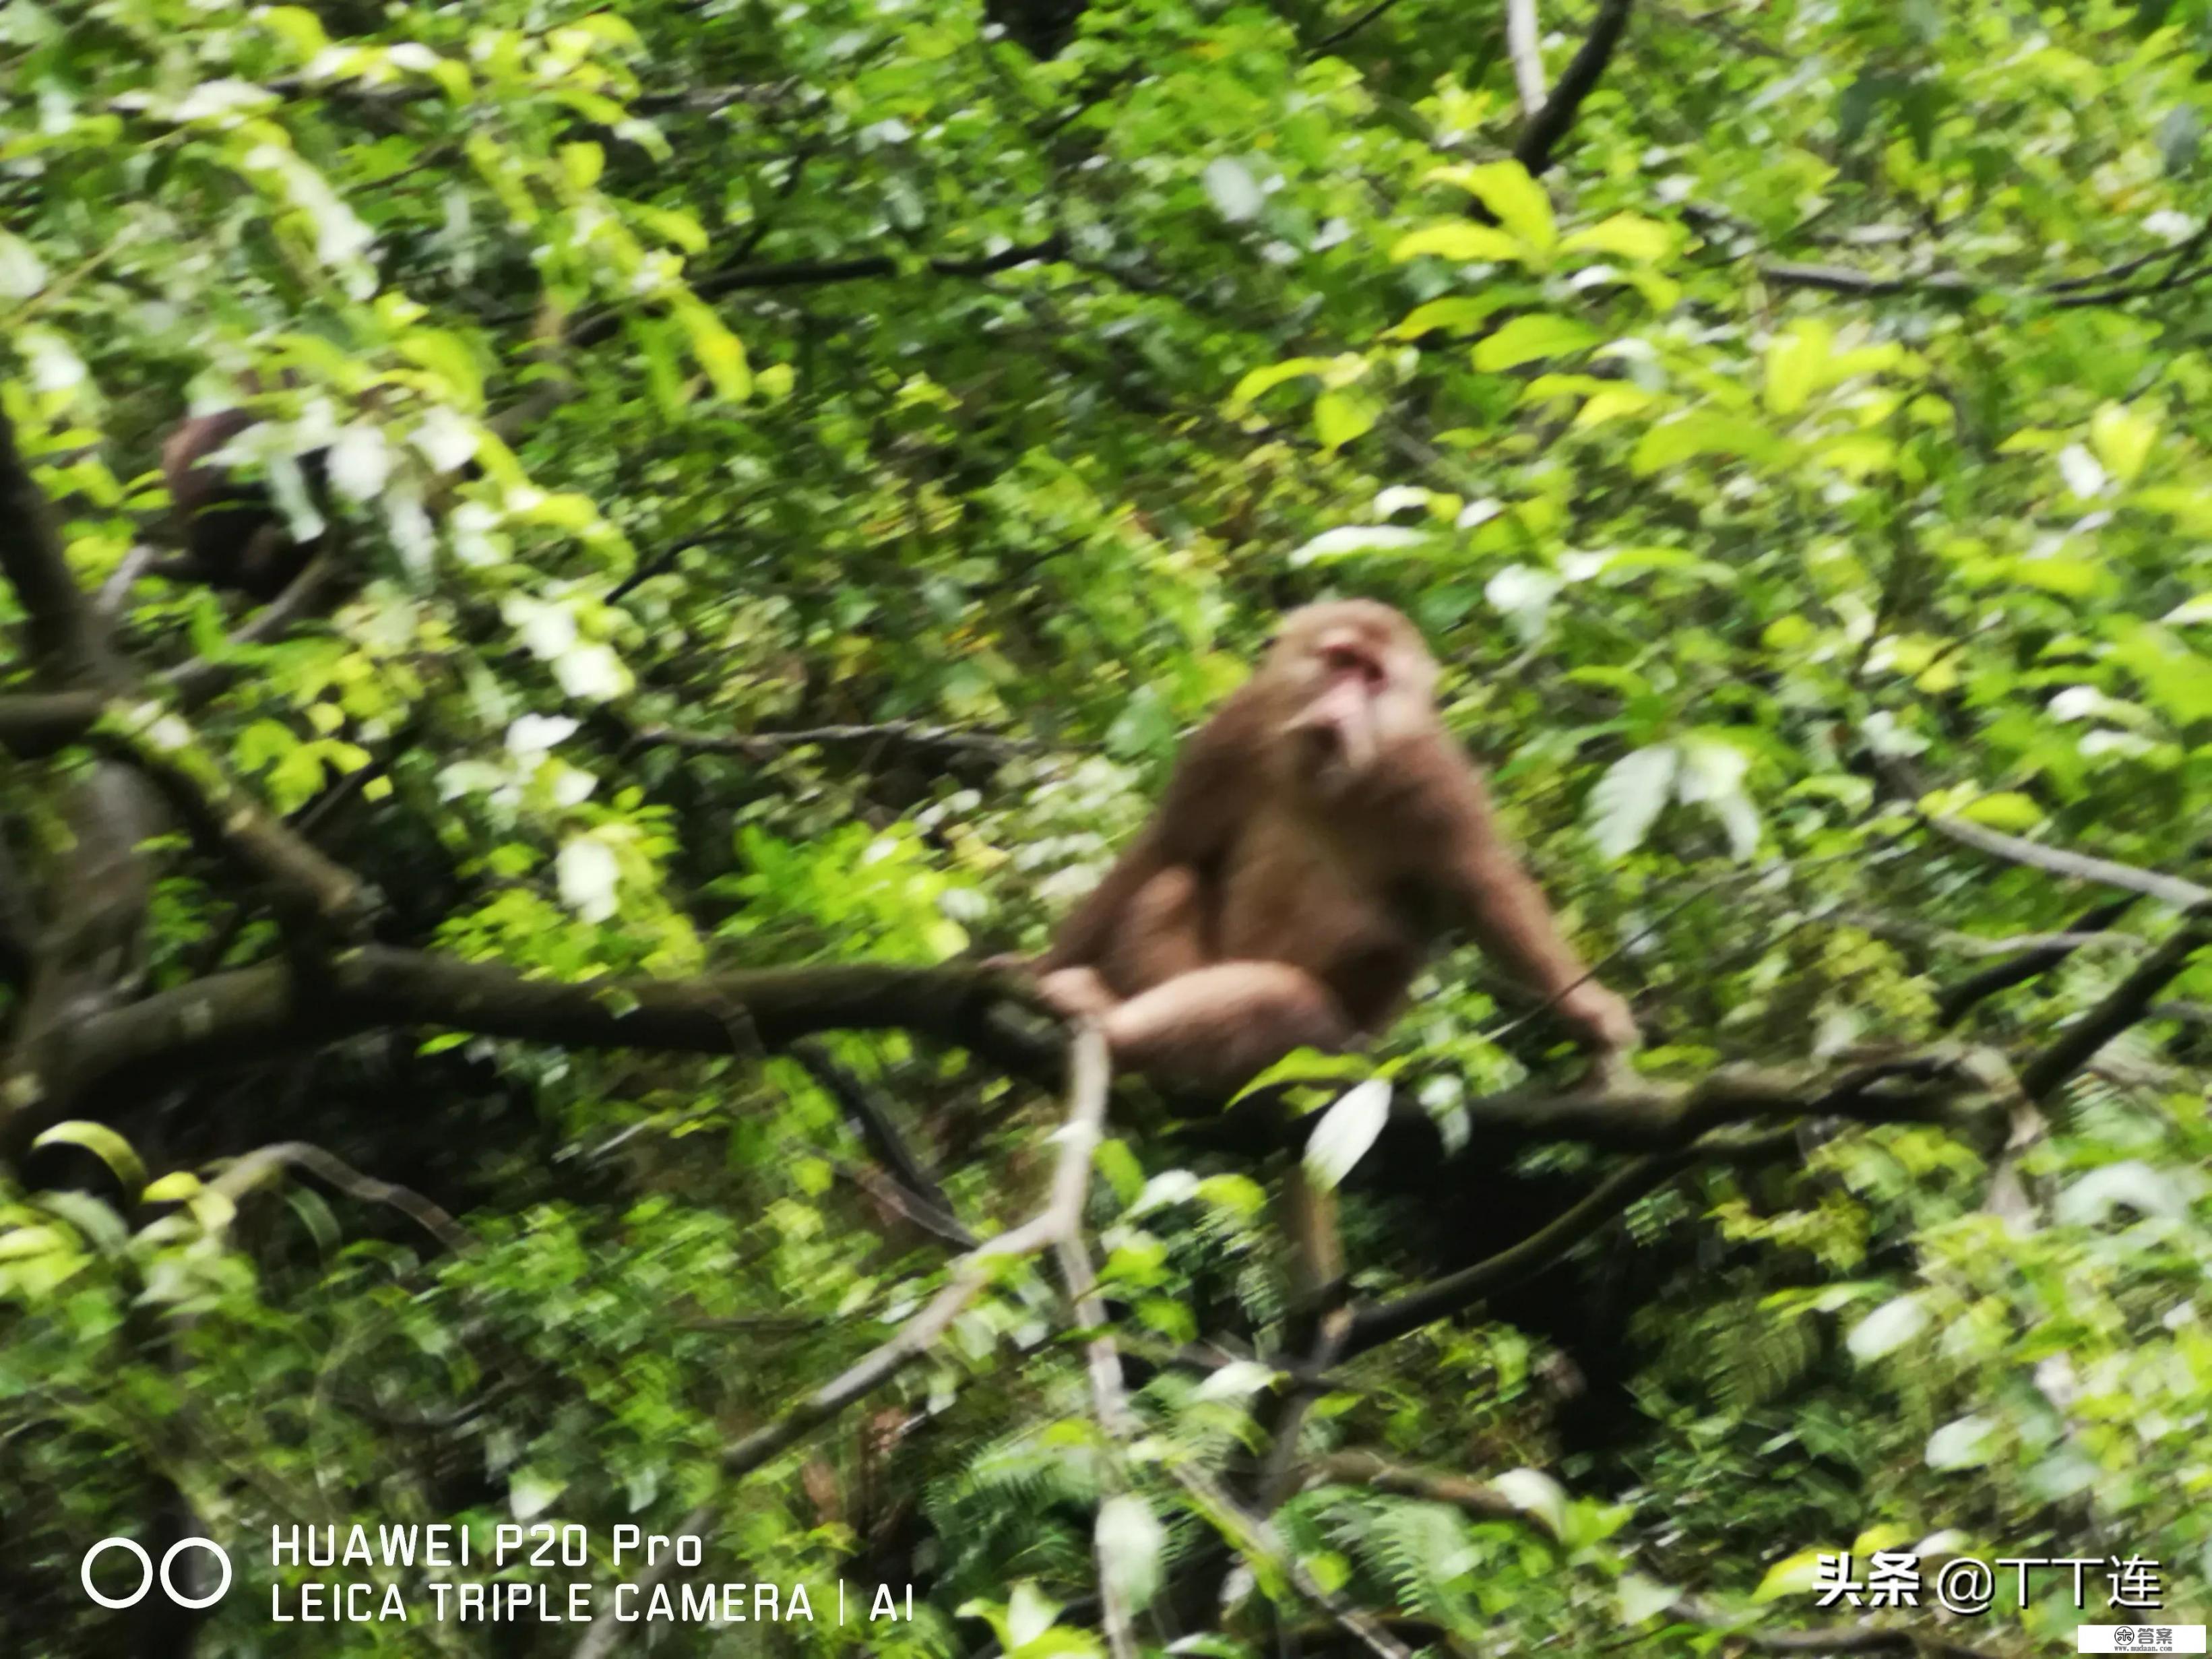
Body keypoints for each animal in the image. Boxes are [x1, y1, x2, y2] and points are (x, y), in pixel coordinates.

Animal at [1026, 606, 1637, 1097]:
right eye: (1340, 661)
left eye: (1372, 677)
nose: (1340, 707)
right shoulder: (1240, 725)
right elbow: (1170, 846)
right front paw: (1036, 968)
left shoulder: (1431, 778)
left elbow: (1484, 890)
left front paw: (1589, 1014)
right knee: (1171, 885)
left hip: (1331, 1053)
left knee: (1281, 1003)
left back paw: (1111, 1026)